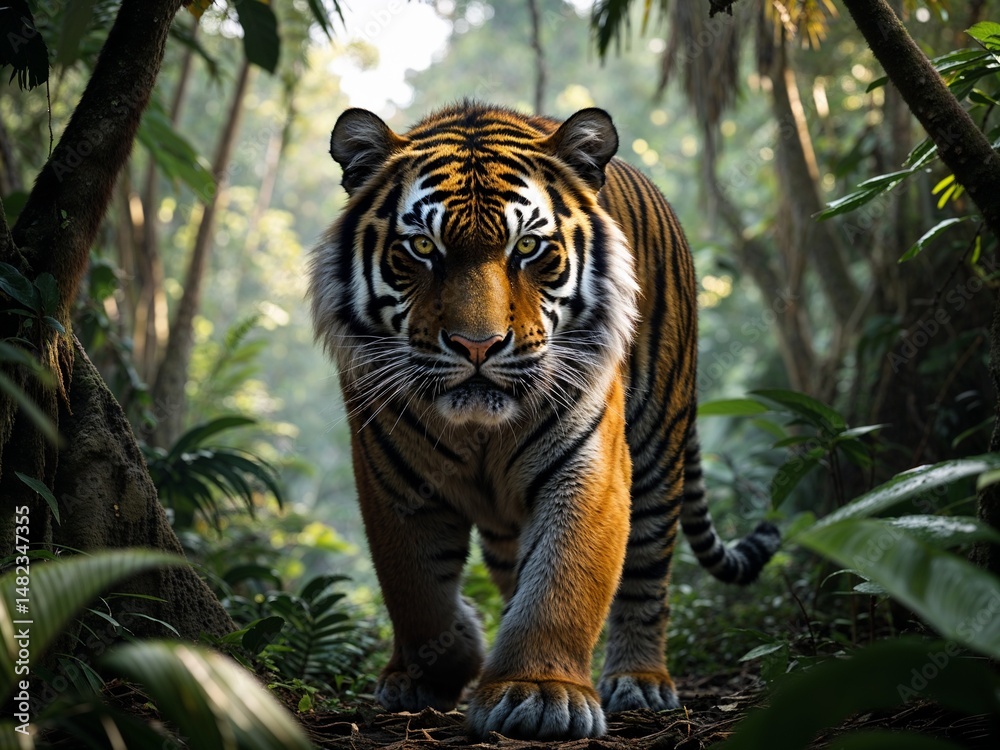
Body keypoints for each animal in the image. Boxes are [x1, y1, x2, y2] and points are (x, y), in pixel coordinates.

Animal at [308, 102, 780, 741]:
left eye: (528, 247)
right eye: (423, 247)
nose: (476, 345)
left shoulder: (587, 465)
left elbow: (562, 577)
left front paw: (538, 691)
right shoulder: (391, 478)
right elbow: (414, 586)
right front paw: (432, 670)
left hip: (660, 444)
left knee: (648, 572)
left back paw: (641, 680)